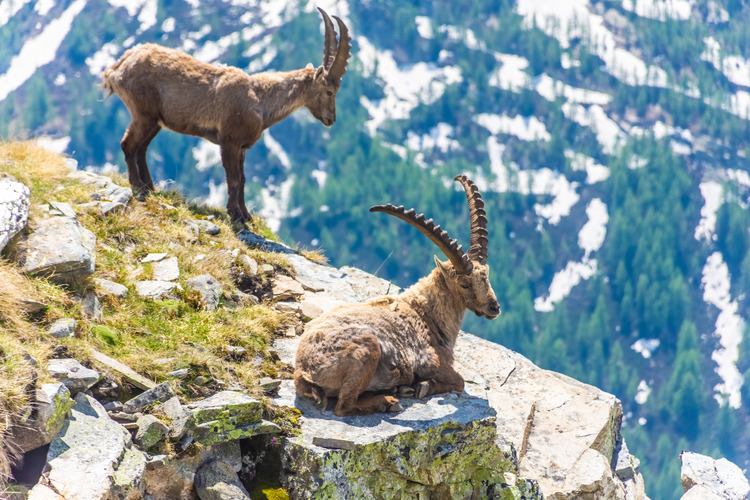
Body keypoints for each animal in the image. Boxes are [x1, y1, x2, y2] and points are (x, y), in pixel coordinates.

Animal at [101, 8, 351, 223]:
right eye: (329, 91)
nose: (331, 119)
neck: (260, 98)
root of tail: (116, 67)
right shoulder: (229, 140)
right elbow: (233, 178)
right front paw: (235, 214)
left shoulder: (242, 147)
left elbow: (243, 179)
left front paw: (246, 215)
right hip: (143, 113)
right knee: (128, 145)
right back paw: (137, 187)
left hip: (155, 120)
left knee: (141, 148)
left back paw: (149, 187)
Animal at [294, 175, 501, 417]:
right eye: (464, 283)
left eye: (486, 275)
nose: (494, 307)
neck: (427, 314)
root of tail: (302, 372)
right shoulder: (429, 360)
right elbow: (459, 382)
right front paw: (422, 386)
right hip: (368, 347)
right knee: (343, 406)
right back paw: (389, 400)